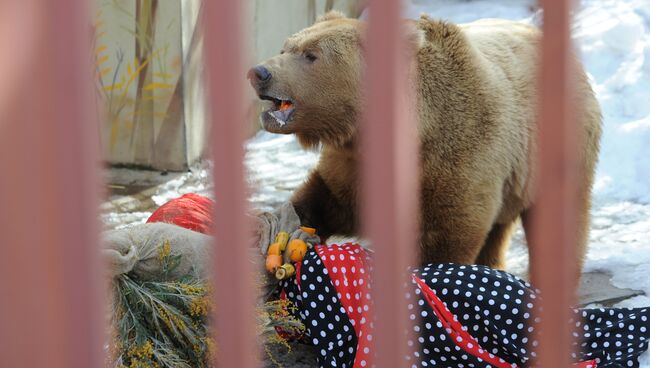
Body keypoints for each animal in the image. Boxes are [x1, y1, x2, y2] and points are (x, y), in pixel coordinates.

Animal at [246, 10, 600, 276]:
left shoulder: (457, 157)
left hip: (558, 148)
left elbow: (446, 236)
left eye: (311, 55)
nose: (259, 72)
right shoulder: (351, 164)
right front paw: (281, 225)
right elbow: (326, 198)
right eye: (286, 47)